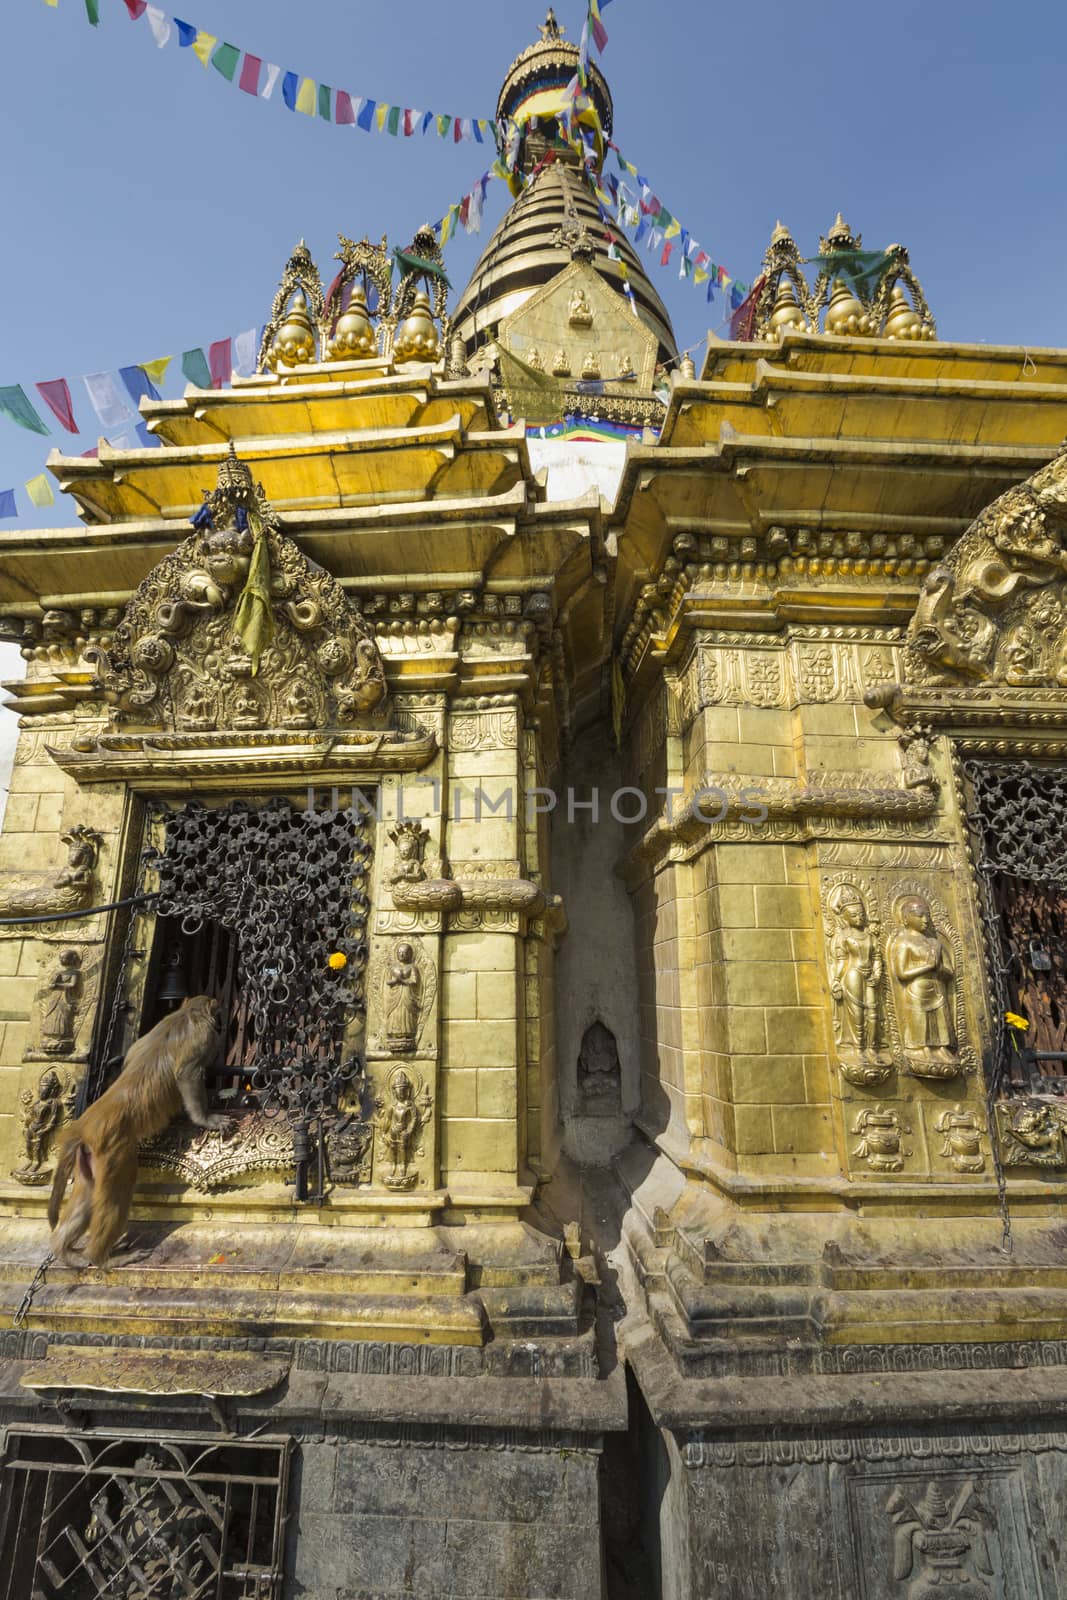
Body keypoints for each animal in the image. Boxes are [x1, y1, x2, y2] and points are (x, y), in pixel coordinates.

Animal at [48, 992, 230, 1267]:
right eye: (217, 1017)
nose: (222, 1023)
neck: (185, 1013)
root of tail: (84, 1126)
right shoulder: (204, 1036)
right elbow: (187, 1074)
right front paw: (207, 1119)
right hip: (114, 1152)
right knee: (117, 1195)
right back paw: (102, 1257)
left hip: (87, 1158)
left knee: (88, 1196)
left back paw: (65, 1251)